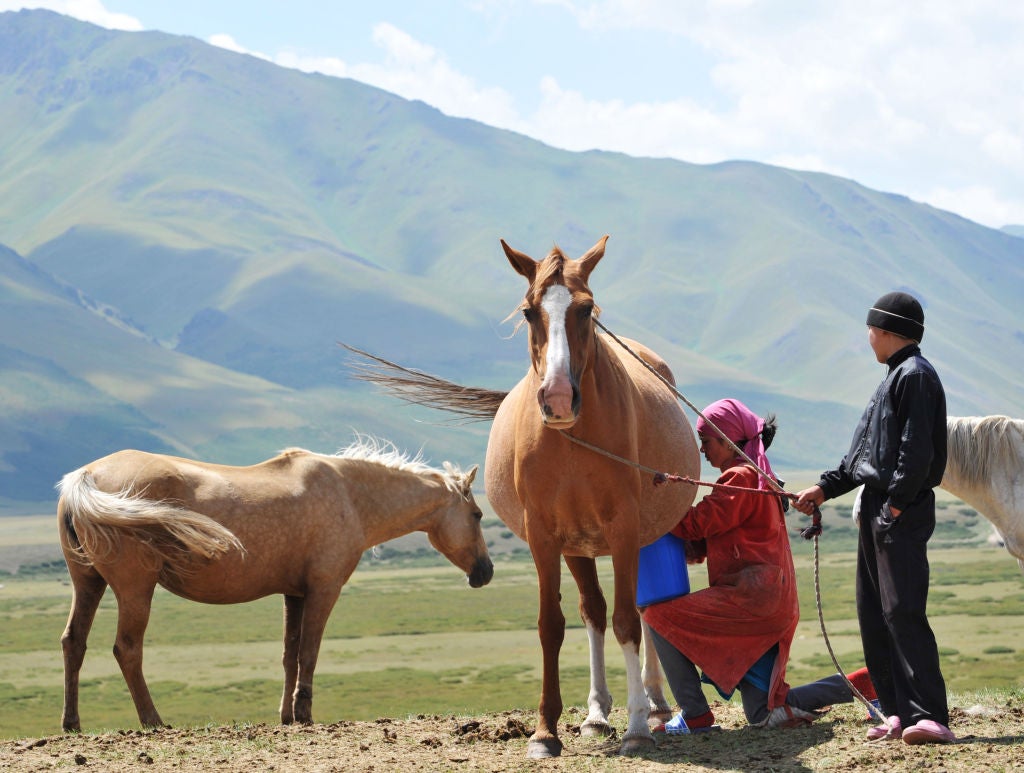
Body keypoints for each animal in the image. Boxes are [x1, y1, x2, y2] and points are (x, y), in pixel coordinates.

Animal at [58, 438, 493, 733]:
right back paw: (153, 720)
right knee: (127, 649)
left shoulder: (294, 595)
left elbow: (289, 655)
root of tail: (87, 476)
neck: (350, 495)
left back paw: (72, 723)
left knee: (74, 643)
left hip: (88, 583)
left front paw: (286, 717)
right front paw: (304, 715)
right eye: (477, 514)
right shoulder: (323, 591)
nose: (485, 572)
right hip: (135, 590)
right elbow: (309, 654)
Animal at [348, 235, 700, 757]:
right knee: (593, 612)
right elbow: (552, 624)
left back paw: (655, 703)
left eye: (586, 308)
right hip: (579, 545)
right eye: (529, 311)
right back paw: (597, 714)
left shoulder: (624, 529)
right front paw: (545, 731)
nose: (557, 398)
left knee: (639, 611)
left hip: (647, 534)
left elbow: (627, 621)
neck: (571, 441)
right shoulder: (544, 536)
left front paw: (637, 725)